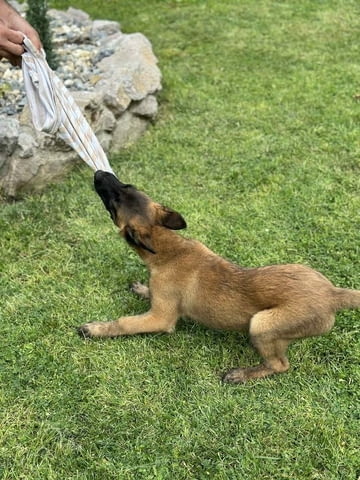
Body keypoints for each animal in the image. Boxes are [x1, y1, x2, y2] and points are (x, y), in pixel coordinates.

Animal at [79, 172, 360, 382]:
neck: (170, 249)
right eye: (127, 186)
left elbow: (125, 323)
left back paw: (243, 374)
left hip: (261, 324)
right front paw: (141, 289)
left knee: (280, 365)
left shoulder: (160, 318)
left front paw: (96, 329)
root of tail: (332, 294)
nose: (99, 172)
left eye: (114, 202)